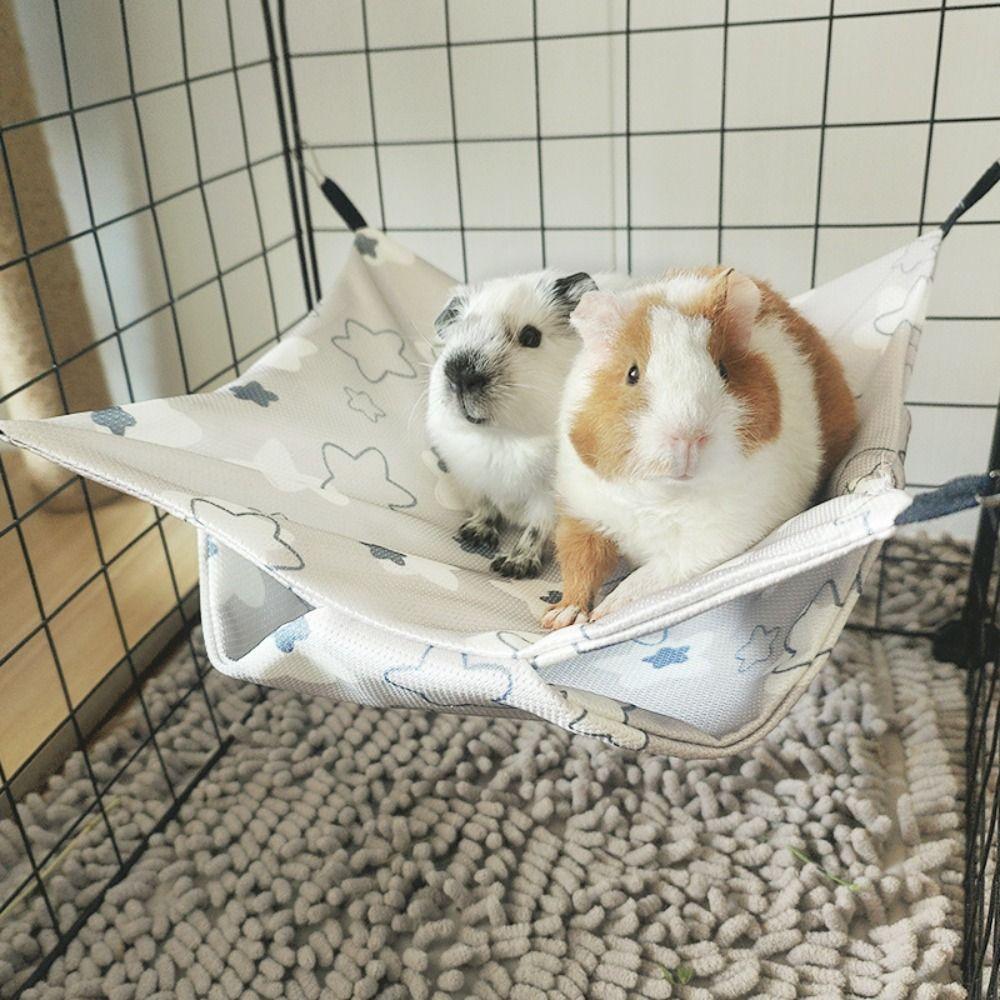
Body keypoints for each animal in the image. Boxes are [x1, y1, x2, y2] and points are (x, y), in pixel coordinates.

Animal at [427, 270, 598, 578]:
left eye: (531, 336)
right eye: (460, 329)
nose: (461, 374)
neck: (501, 437)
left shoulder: (548, 498)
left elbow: (536, 529)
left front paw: (512, 567)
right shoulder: (472, 481)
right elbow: (485, 507)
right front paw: (474, 534)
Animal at [542, 266, 858, 630]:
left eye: (723, 370)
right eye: (632, 373)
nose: (688, 438)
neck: (663, 498)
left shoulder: (708, 545)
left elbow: (650, 578)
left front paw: (603, 615)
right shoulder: (582, 514)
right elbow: (580, 564)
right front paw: (561, 619)